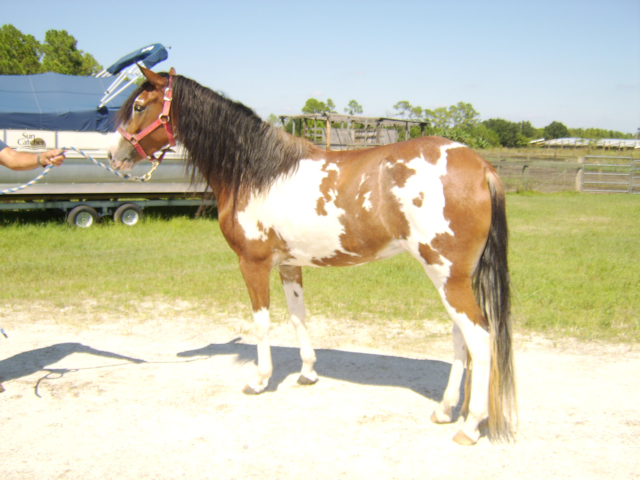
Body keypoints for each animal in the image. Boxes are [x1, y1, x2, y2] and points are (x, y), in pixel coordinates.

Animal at [106, 67, 516, 446]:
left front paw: (259, 380)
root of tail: (481, 166)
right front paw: (307, 373)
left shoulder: (253, 264)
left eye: (139, 106)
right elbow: (297, 317)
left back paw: (469, 426)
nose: (114, 155)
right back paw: (445, 410)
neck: (256, 172)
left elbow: (262, 323)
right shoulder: (289, 265)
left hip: (447, 276)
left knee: (480, 339)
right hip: (453, 277)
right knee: (460, 337)